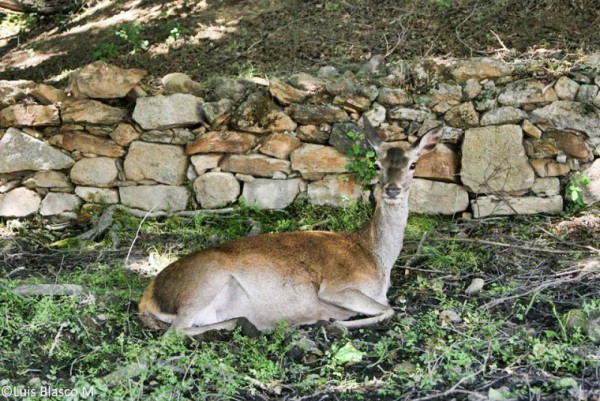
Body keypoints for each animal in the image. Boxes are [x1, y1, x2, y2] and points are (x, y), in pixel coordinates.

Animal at [139, 117, 440, 336]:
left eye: (413, 164)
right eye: (377, 164)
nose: (392, 189)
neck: (377, 260)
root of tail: (147, 297)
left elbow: (389, 308)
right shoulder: (336, 286)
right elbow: (389, 310)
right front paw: (335, 322)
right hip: (205, 280)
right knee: (173, 331)